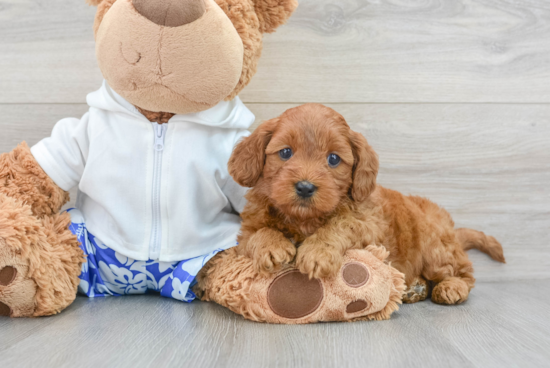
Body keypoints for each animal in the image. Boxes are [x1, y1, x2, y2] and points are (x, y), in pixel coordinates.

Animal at [230, 103, 508, 304]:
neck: (304, 220)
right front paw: (272, 246)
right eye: (286, 152)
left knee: (464, 272)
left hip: (435, 248)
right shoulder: (245, 233)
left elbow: (340, 224)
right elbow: (258, 233)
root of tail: (449, 228)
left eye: (333, 159)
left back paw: (451, 287)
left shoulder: (369, 225)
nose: (305, 187)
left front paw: (317, 252)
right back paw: (414, 288)